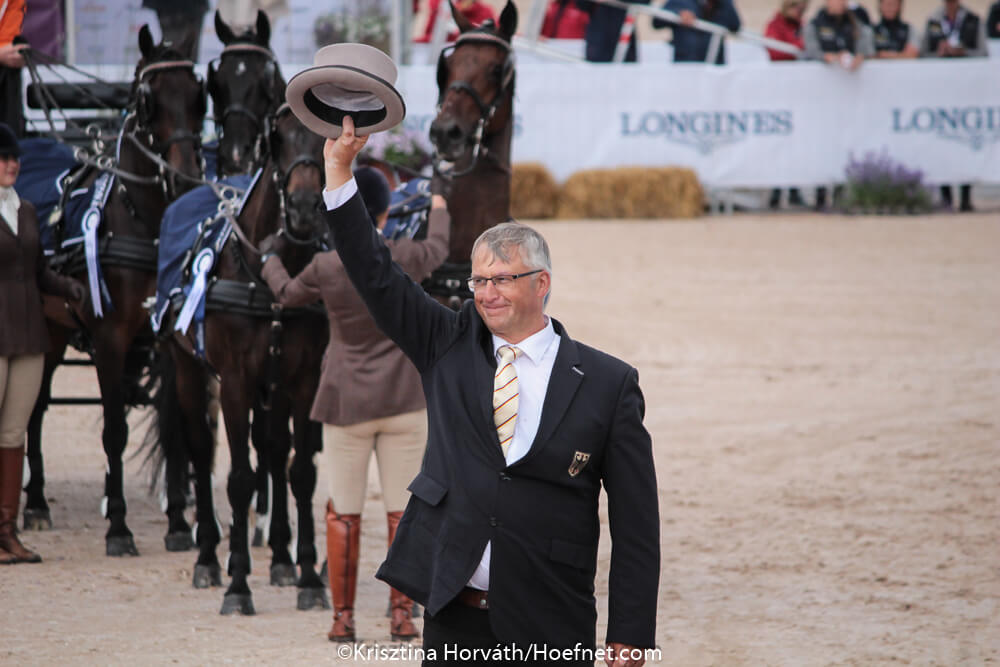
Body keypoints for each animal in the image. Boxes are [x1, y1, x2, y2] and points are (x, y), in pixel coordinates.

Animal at [23, 24, 205, 560]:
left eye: (198, 94)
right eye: (147, 99)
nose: (185, 176)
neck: (142, 220)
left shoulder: (163, 343)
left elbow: (173, 427)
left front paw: (177, 523)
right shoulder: (110, 338)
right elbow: (114, 431)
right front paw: (119, 528)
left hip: (55, 331)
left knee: (37, 404)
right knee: (35, 408)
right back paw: (35, 505)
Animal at [150, 105, 328, 616]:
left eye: (328, 139)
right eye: (279, 138)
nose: (305, 208)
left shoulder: (304, 380)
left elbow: (300, 472)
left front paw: (309, 576)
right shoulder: (233, 383)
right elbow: (239, 479)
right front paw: (238, 585)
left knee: (274, 450)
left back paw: (282, 559)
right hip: (190, 372)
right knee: (200, 450)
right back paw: (210, 557)